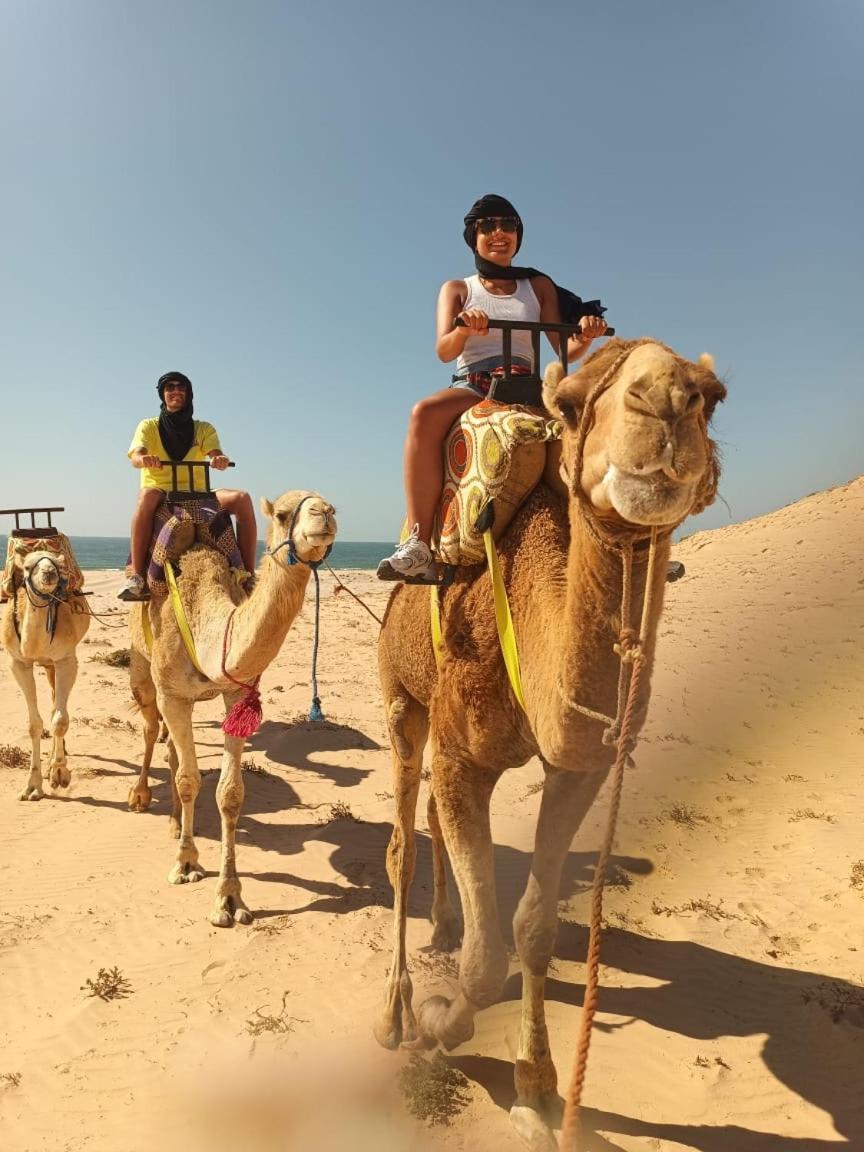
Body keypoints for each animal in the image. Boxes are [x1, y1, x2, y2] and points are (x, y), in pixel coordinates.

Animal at [1, 548, 91, 801]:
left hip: (53, 665)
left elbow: (59, 719)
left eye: (59, 566)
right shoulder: (18, 663)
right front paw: (32, 787)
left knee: (55, 707)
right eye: (27, 566)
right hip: (47, 665)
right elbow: (34, 724)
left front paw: (59, 772)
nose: (49, 572)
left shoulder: (66, 660)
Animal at [128, 486, 338, 926]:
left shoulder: (237, 694)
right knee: (152, 729)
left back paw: (174, 823)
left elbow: (229, 792)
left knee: (172, 750)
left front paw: (229, 897)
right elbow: (188, 780)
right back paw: (140, 797)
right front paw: (185, 863)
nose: (324, 513)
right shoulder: (171, 693)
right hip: (141, 667)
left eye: (330, 505)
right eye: (284, 513)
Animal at [375, 336, 728, 1147]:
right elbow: (486, 962)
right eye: (567, 406)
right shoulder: (461, 750)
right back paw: (395, 1010)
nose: (666, 401)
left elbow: (533, 927)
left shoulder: (582, 767)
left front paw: (537, 1089)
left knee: (429, 825)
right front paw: (439, 1021)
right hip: (401, 697)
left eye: (715, 395)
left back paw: (443, 924)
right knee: (402, 839)